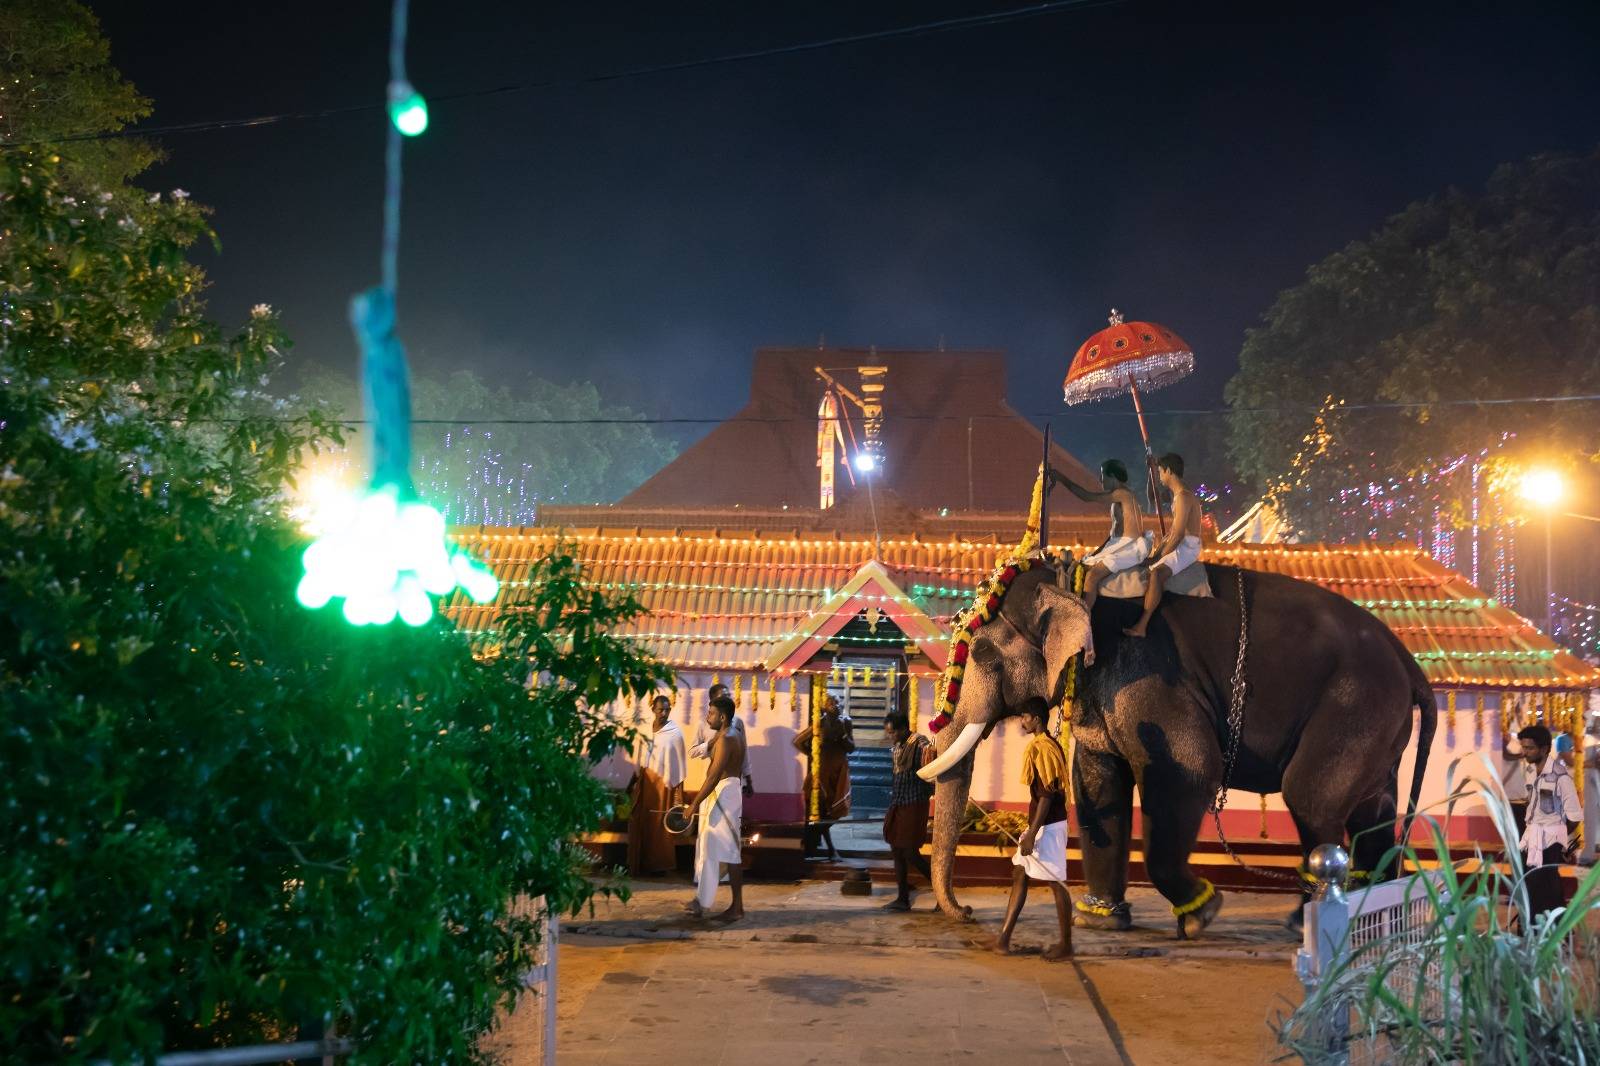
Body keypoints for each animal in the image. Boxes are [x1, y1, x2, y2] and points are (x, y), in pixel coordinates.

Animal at [921, 560, 1446, 934]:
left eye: (982, 653)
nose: (968, 913)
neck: (1073, 578)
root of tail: (1410, 664)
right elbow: (1096, 780)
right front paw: (1101, 919)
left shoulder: (1150, 680)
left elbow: (1187, 769)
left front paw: (1201, 914)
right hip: (1378, 723)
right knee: (1373, 811)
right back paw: (1375, 917)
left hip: (1357, 702)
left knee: (1311, 796)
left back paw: (1305, 923)